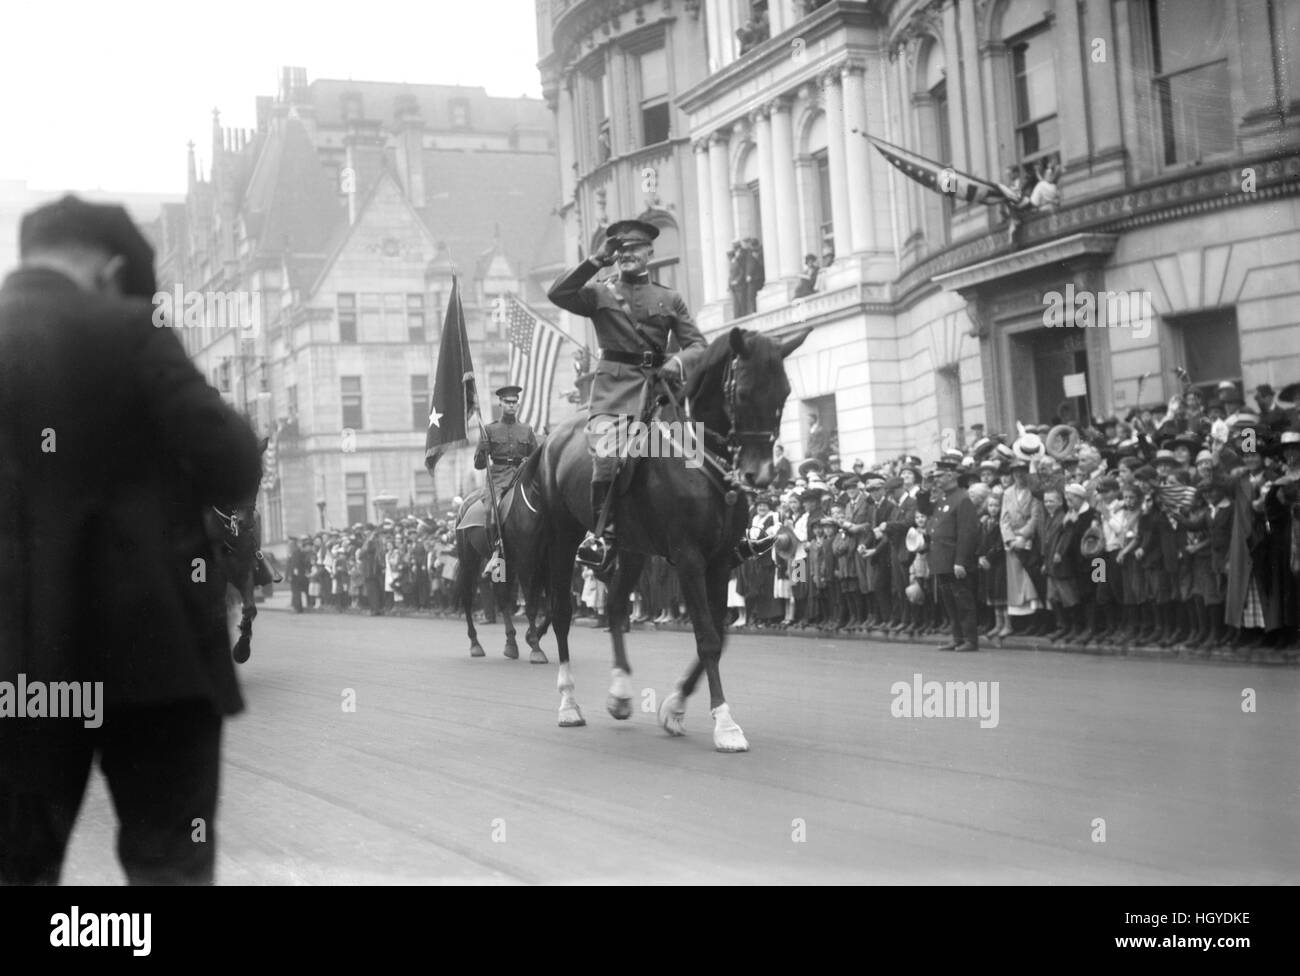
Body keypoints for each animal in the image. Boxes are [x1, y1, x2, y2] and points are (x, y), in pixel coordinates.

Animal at [454, 462, 551, 660]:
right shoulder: (526, 563)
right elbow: (531, 605)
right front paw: (536, 647)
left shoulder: (546, 562)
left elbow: (552, 605)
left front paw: (533, 636)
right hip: (469, 559)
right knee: (468, 596)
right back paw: (475, 644)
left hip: (507, 564)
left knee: (502, 596)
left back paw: (511, 644)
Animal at [522, 330, 806, 753]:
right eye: (743, 392)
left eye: (784, 392)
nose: (760, 475)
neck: (699, 462)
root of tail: (552, 436)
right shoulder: (689, 559)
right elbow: (707, 637)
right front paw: (725, 724)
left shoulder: (719, 561)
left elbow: (719, 634)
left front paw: (674, 708)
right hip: (563, 537)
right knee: (561, 613)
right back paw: (569, 703)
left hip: (633, 548)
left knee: (617, 606)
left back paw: (620, 693)